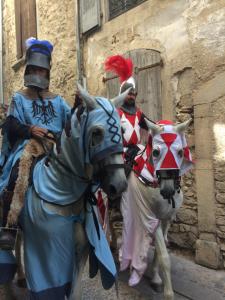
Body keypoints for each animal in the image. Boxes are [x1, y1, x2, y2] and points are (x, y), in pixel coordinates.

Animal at [0, 84, 130, 300]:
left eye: (121, 130)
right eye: (96, 132)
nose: (119, 185)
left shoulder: (80, 254)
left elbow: (74, 292)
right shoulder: (48, 257)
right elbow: (12, 122)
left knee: (19, 240)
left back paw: (21, 276)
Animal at [119, 118, 193, 300]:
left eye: (180, 152)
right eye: (156, 152)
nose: (167, 191)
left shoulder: (165, 219)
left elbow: (159, 254)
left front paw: (156, 279)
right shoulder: (152, 219)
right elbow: (164, 256)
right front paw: (169, 293)